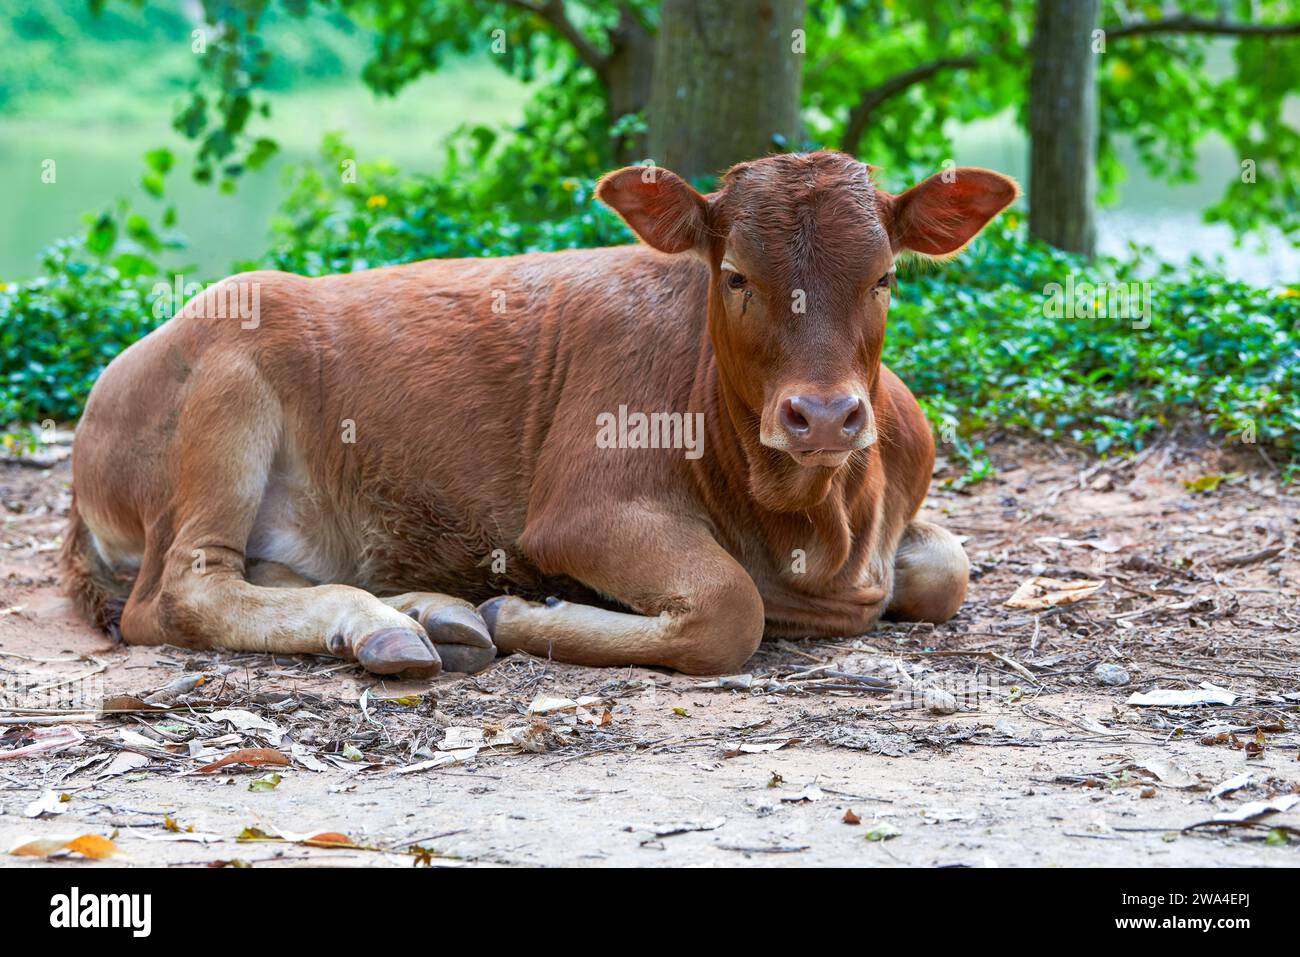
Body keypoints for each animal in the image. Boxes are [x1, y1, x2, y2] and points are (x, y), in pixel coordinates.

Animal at [61, 149, 1013, 676]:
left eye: (884, 276)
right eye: (737, 275)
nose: (823, 416)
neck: (819, 526)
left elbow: (948, 569)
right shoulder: (582, 506)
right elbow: (729, 607)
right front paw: (523, 616)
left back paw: (426, 615)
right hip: (227, 380)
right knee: (180, 593)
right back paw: (390, 627)